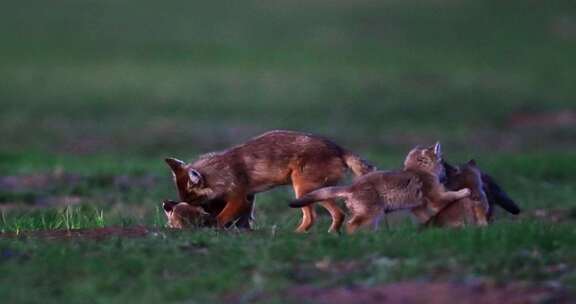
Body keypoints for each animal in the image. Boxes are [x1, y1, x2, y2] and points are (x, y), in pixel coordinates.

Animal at [165, 129, 374, 232]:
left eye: (196, 203)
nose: (168, 204)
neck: (221, 171)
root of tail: (339, 148)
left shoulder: (239, 198)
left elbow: (221, 218)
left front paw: (212, 227)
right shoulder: (249, 197)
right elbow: (244, 219)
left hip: (303, 191)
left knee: (322, 216)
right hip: (311, 193)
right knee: (333, 215)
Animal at [290, 142, 470, 233]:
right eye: (443, 162)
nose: (450, 172)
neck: (418, 171)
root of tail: (351, 188)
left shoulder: (417, 207)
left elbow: (426, 217)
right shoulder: (436, 197)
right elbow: (453, 195)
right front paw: (465, 191)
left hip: (373, 217)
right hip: (372, 214)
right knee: (350, 225)